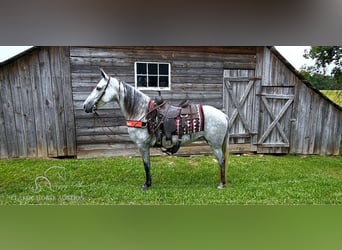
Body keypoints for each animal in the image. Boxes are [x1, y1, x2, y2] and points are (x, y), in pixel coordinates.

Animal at [83, 68, 228, 189]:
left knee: (222, 160)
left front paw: (146, 185)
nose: (85, 106)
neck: (142, 113)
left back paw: (221, 184)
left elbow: (146, 165)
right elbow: (148, 165)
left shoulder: (142, 145)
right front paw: (149, 183)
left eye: (98, 88)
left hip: (215, 144)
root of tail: (224, 115)